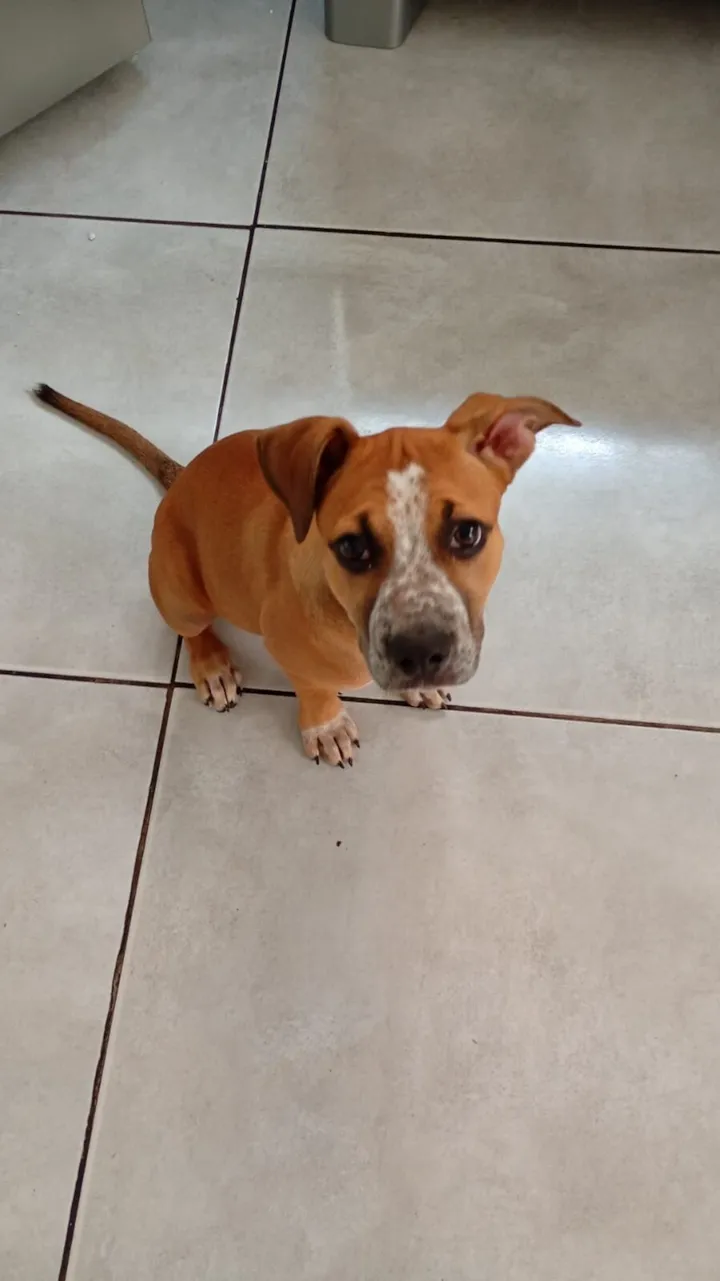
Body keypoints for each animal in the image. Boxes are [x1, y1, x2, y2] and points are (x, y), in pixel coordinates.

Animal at [34, 385, 579, 765]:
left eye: (467, 533)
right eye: (352, 547)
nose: (422, 654)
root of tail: (180, 476)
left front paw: (417, 686)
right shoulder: (286, 645)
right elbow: (314, 687)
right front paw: (327, 726)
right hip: (177, 587)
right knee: (191, 628)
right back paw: (212, 664)